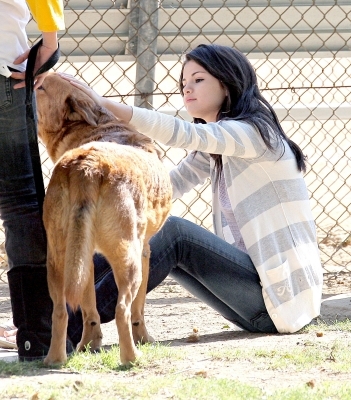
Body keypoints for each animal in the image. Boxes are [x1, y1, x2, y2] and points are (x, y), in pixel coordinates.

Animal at [35, 72, 173, 366]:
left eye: (40, 85)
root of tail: (87, 165)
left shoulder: (83, 256)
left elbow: (89, 309)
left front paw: (90, 344)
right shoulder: (145, 252)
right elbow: (138, 310)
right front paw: (144, 338)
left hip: (58, 260)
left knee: (60, 310)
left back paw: (55, 359)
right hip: (129, 260)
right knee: (123, 309)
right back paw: (131, 358)